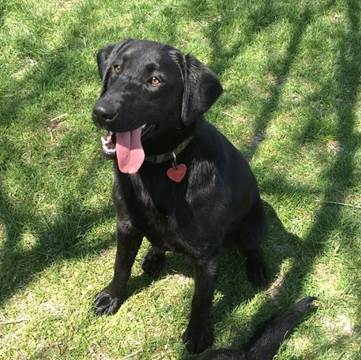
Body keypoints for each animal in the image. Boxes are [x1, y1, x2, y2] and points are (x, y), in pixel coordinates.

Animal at [92, 39, 268, 354]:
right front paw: (111, 297)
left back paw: (257, 269)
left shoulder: (207, 254)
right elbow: (120, 266)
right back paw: (154, 256)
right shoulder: (126, 225)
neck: (156, 167)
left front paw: (198, 334)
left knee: (252, 247)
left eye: (155, 80)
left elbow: (201, 298)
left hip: (254, 224)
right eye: (117, 68)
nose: (102, 112)